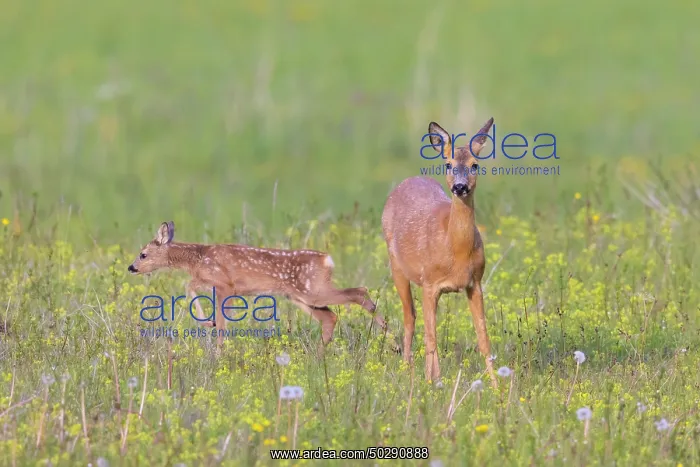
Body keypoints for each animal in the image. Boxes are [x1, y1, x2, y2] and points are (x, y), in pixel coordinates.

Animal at [127, 221, 387, 347]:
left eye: (143, 254)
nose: (131, 268)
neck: (198, 258)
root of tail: (327, 259)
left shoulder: (225, 285)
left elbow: (218, 320)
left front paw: (216, 344)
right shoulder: (214, 284)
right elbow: (190, 287)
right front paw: (210, 327)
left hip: (313, 291)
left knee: (359, 292)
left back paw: (387, 332)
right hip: (302, 297)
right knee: (330, 317)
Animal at [381, 117, 498, 387]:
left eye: (475, 165)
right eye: (448, 164)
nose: (460, 187)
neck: (455, 250)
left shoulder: (475, 282)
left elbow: (484, 338)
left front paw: (498, 386)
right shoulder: (429, 283)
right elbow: (431, 338)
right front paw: (430, 384)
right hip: (396, 267)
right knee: (410, 317)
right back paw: (408, 369)